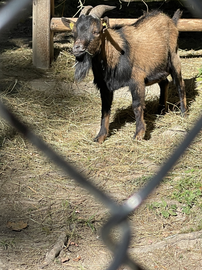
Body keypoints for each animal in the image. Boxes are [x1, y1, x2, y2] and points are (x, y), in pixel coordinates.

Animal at [62, 4, 186, 143]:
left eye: (96, 31)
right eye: (74, 33)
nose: (77, 49)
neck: (114, 54)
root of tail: (171, 21)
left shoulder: (137, 79)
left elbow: (137, 106)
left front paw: (139, 134)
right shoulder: (105, 86)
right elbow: (105, 110)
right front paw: (100, 136)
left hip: (174, 58)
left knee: (180, 84)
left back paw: (183, 113)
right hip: (158, 67)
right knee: (164, 83)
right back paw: (160, 111)